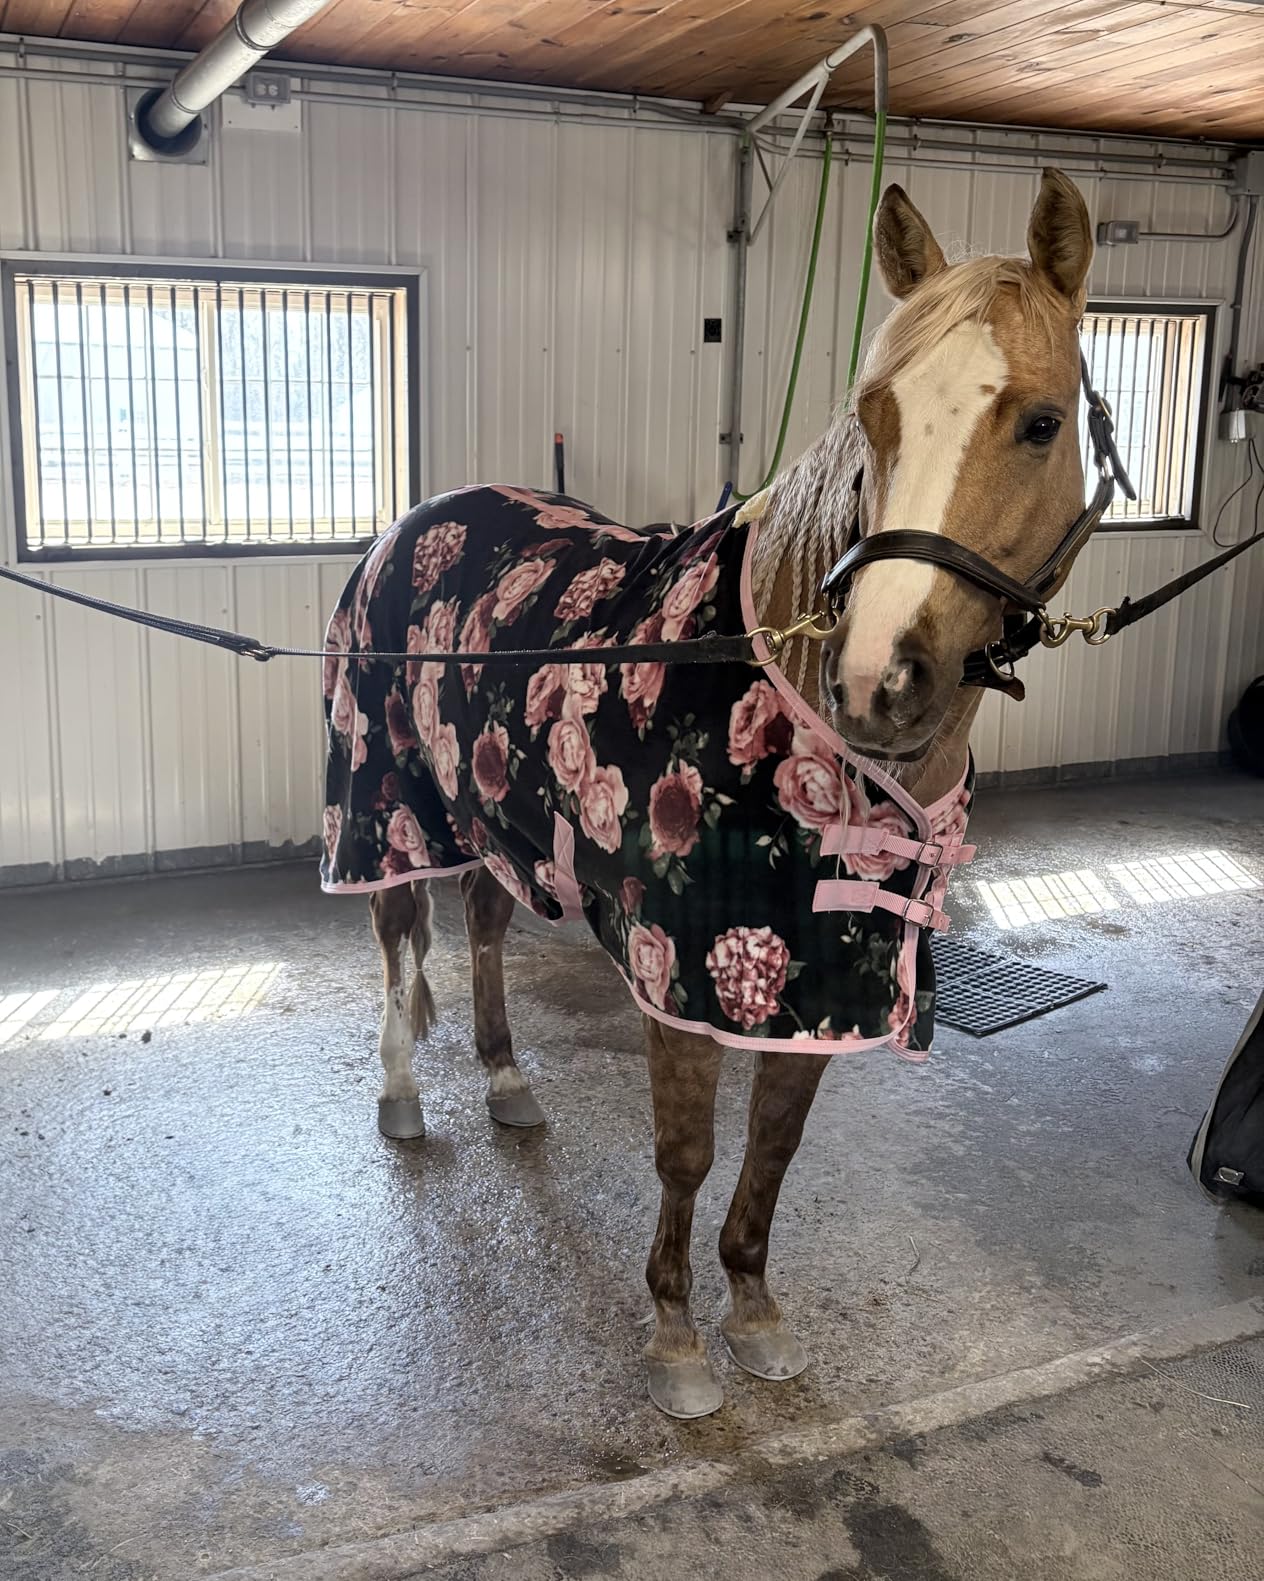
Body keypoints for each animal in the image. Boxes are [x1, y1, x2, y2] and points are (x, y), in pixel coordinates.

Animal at [321, 167, 1099, 1418]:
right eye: (874, 413)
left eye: (1041, 421)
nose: (878, 677)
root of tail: (414, 523)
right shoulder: (681, 973)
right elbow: (685, 1153)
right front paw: (679, 1341)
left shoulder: (819, 979)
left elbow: (772, 1148)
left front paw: (755, 1313)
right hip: (386, 803)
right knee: (399, 941)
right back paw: (402, 1096)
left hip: (496, 818)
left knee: (482, 924)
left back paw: (505, 1080)